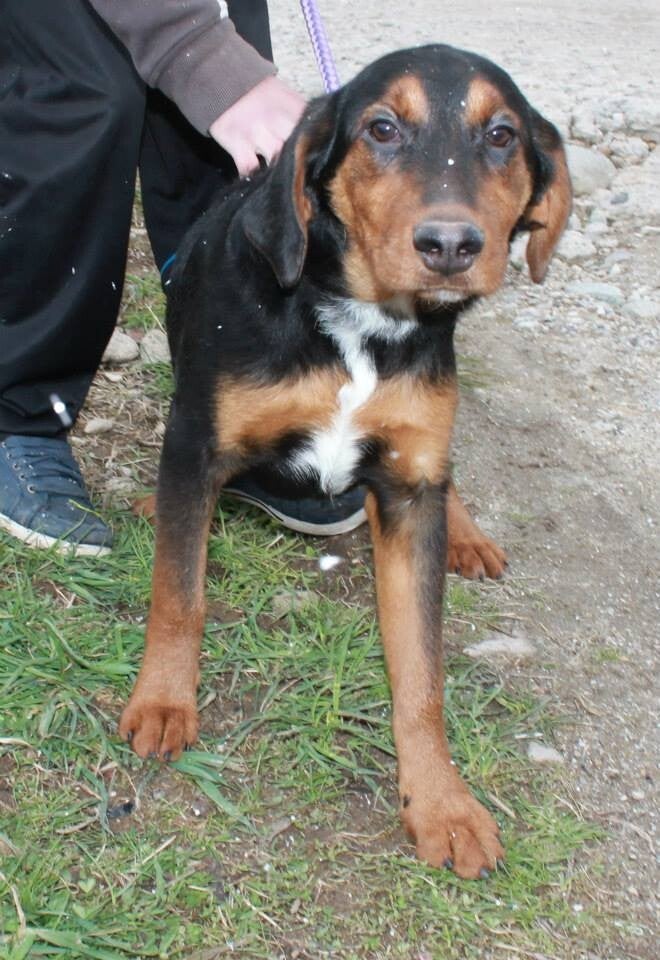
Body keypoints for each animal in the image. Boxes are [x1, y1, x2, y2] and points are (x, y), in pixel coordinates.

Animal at [120, 44, 571, 879]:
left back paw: (467, 532)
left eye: (501, 135)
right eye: (382, 128)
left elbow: (421, 672)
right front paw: (163, 702)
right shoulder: (196, 444)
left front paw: (441, 802)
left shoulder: (410, 492)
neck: (365, 325)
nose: (450, 245)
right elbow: (179, 593)